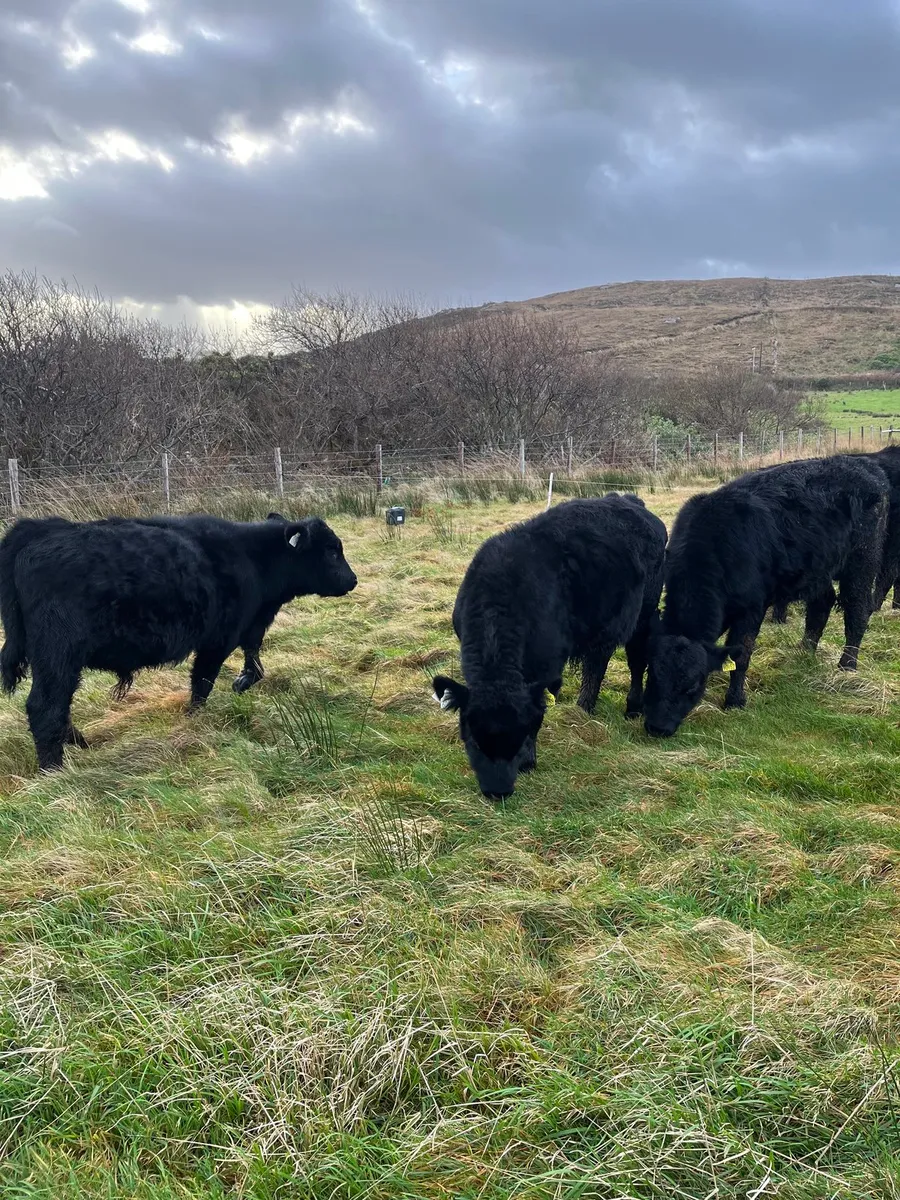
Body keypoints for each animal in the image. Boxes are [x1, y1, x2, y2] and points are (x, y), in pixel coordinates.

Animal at [0, 512, 357, 770]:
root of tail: (41, 530)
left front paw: (242, 681)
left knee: (58, 708)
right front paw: (194, 721)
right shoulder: (218, 640)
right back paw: (54, 769)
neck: (252, 557)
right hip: (58, 655)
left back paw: (80, 743)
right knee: (45, 707)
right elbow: (202, 683)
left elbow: (253, 663)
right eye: (331, 550)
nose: (353, 580)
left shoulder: (248, 629)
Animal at [432, 495, 667, 799]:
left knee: (635, 660)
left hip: (644, 612)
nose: (498, 791)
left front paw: (529, 761)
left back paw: (630, 708)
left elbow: (540, 707)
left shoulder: (546, 666)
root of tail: (628, 500)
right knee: (596, 664)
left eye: (521, 736)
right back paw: (585, 708)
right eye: (472, 741)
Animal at [643, 455, 889, 739]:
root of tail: (863, 465)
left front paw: (735, 700)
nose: (657, 727)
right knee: (821, 604)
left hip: (862, 561)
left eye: (692, 686)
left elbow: (741, 655)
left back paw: (847, 667)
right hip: (818, 569)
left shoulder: (752, 608)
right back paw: (804, 651)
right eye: (652, 675)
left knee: (857, 611)